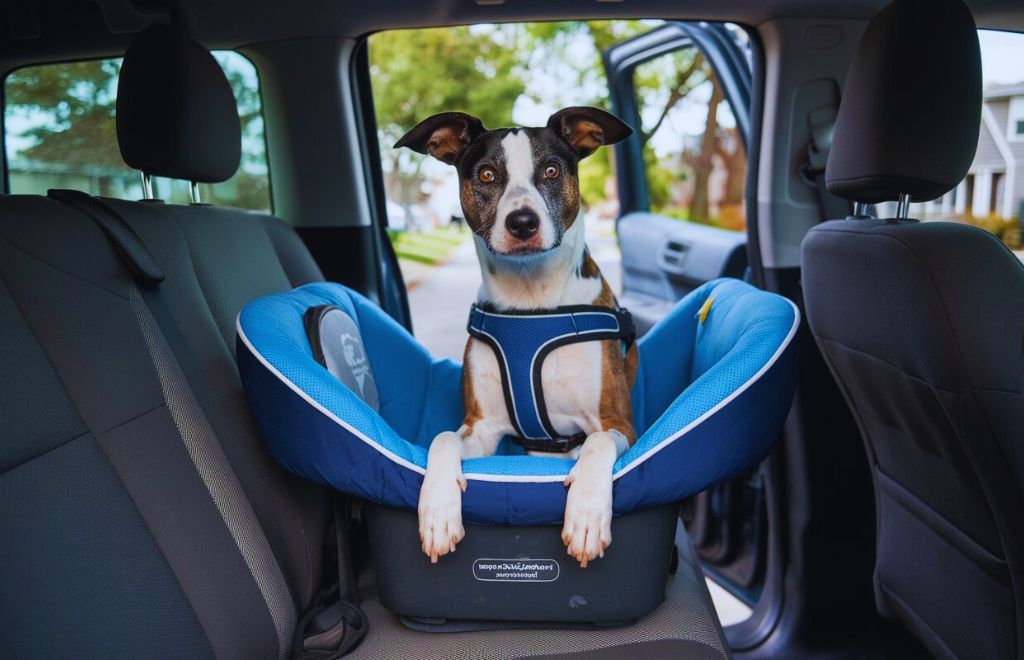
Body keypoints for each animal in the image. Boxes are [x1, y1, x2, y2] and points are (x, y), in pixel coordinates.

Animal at [395, 106, 634, 564]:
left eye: (552, 170)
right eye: (487, 175)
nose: (522, 222)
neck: (532, 301)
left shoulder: (618, 423)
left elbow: (596, 443)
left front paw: (587, 516)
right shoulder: (481, 427)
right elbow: (442, 440)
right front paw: (437, 511)